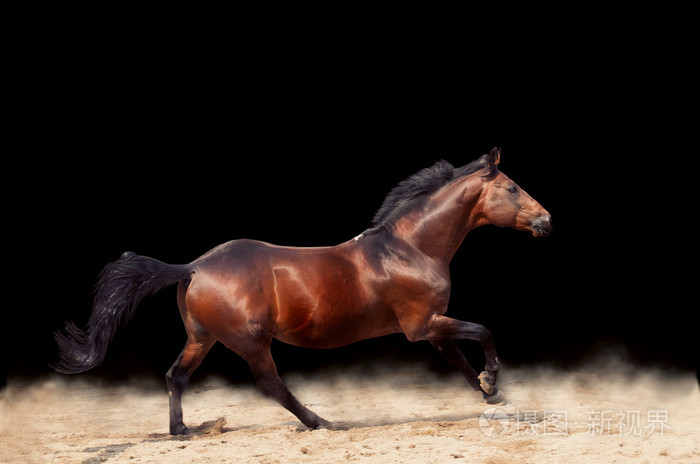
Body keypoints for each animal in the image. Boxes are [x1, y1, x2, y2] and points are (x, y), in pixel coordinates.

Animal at [54, 147, 551, 434]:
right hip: (250, 341)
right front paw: (493, 380)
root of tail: (194, 266)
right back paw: (320, 422)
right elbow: (483, 331)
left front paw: (490, 393)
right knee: (269, 384)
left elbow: (460, 361)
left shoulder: (431, 328)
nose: (547, 220)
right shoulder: (423, 324)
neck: (409, 248)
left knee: (176, 376)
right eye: (512, 187)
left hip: (203, 336)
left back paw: (182, 431)